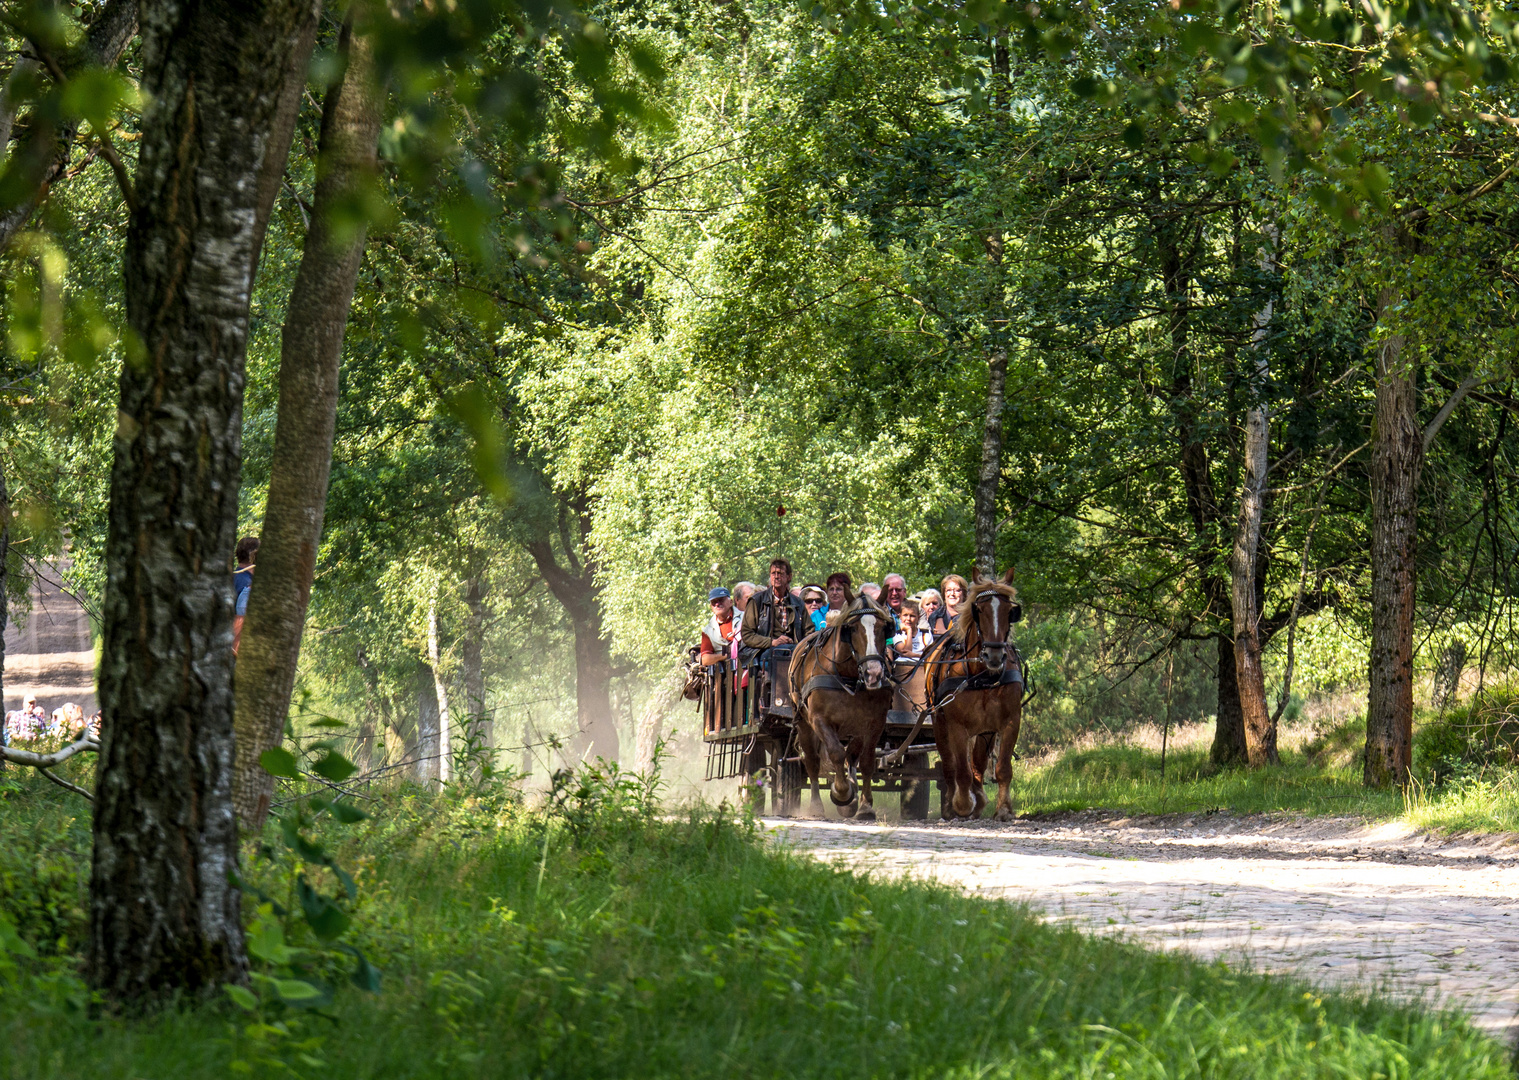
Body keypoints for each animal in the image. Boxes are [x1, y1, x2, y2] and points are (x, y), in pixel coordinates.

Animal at [789, 598, 893, 820]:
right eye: (851, 628)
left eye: (884, 628)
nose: (874, 673)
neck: (849, 677)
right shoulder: (819, 720)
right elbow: (836, 753)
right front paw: (841, 793)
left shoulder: (874, 723)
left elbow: (867, 761)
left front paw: (865, 806)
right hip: (804, 724)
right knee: (812, 760)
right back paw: (817, 806)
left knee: (852, 756)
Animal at [917, 571, 1026, 826]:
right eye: (979, 610)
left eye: (1009, 611)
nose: (994, 655)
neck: (981, 675)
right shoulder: (957, 726)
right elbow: (961, 771)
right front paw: (963, 804)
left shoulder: (1008, 721)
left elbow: (1001, 767)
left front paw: (1003, 809)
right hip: (939, 723)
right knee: (949, 764)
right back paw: (951, 805)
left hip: (984, 730)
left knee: (976, 763)